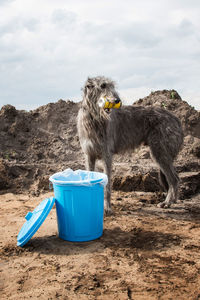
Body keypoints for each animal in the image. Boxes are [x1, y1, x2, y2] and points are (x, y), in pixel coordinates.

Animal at [77, 76, 184, 214]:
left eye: (113, 86)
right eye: (103, 85)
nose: (117, 100)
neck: (95, 119)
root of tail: (176, 119)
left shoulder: (107, 155)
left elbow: (107, 184)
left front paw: (107, 208)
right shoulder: (89, 155)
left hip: (160, 152)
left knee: (174, 179)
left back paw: (167, 202)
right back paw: (172, 201)